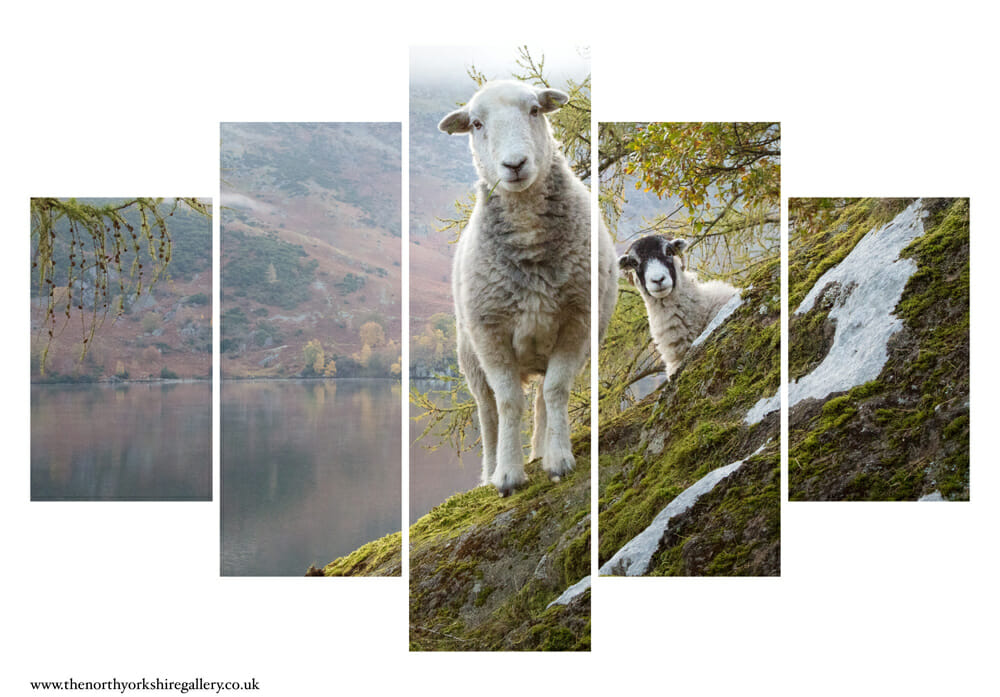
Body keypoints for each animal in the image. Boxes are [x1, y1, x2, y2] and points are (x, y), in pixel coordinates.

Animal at [440, 80, 618, 496]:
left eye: (535, 110)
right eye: (476, 123)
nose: (515, 165)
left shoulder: (577, 322)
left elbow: (555, 391)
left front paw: (559, 459)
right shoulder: (490, 333)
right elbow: (507, 403)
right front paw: (507, 474)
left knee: (541, 398)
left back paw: (540, 452)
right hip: (469, 355)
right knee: (488, 412)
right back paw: (489, 471)